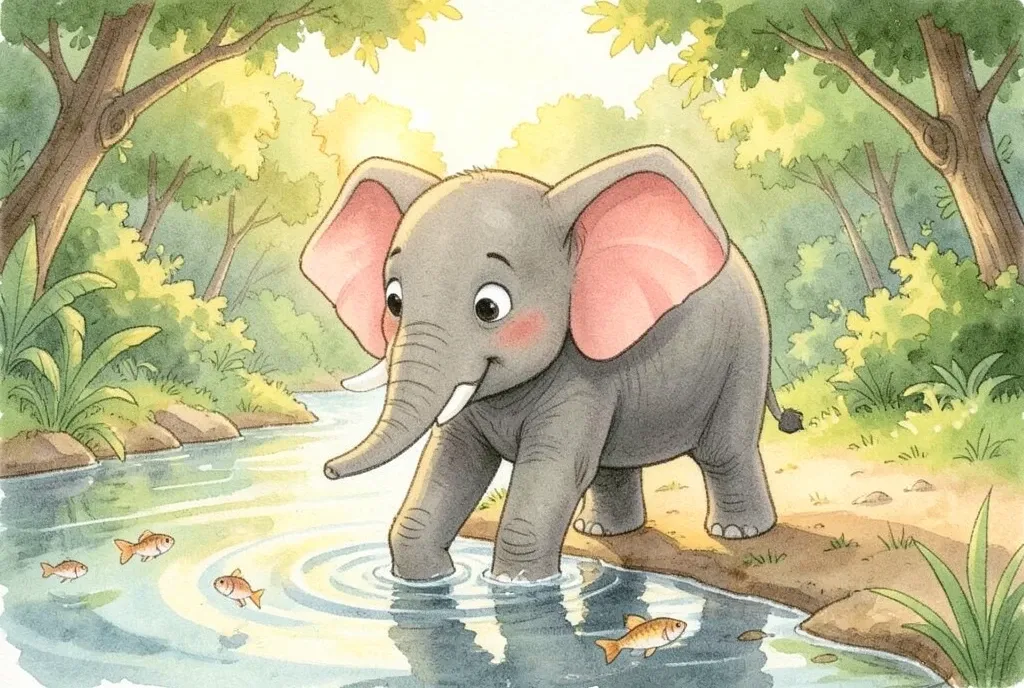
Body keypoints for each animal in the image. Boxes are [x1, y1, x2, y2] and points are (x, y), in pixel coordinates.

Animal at [301, 145, 803, 583]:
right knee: (611, 464)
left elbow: (554, 466)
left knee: (724, 449)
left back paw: (736, 532)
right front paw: (426, 581)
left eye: (489, 307)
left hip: (746, 349)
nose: (327, 470)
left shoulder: (581, 375)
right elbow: (452, 462)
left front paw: (517, 586)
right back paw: (600, 531)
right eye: (393, 301)